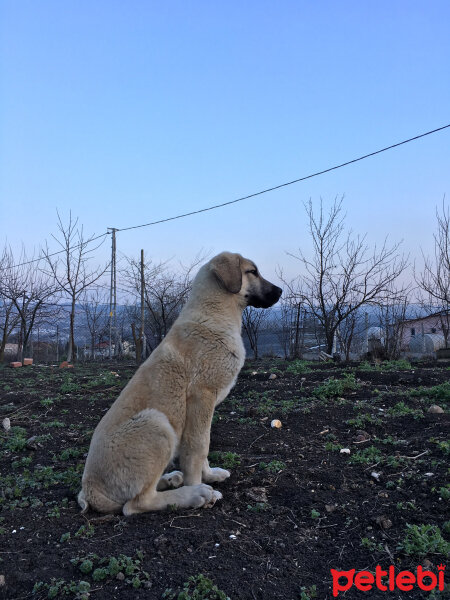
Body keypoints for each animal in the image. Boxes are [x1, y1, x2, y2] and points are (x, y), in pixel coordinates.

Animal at [77, 251, 282, 512]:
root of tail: (89, 489)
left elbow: (202, 445)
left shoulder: (202, 408)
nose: (280, 291)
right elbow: (199, 447)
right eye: (252, 272)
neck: (215, 312)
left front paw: (209, 475)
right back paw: (192, 494)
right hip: (157, 423)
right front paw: (200, 485)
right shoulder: (201, 396)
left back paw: (171, 479)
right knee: (136, 503)